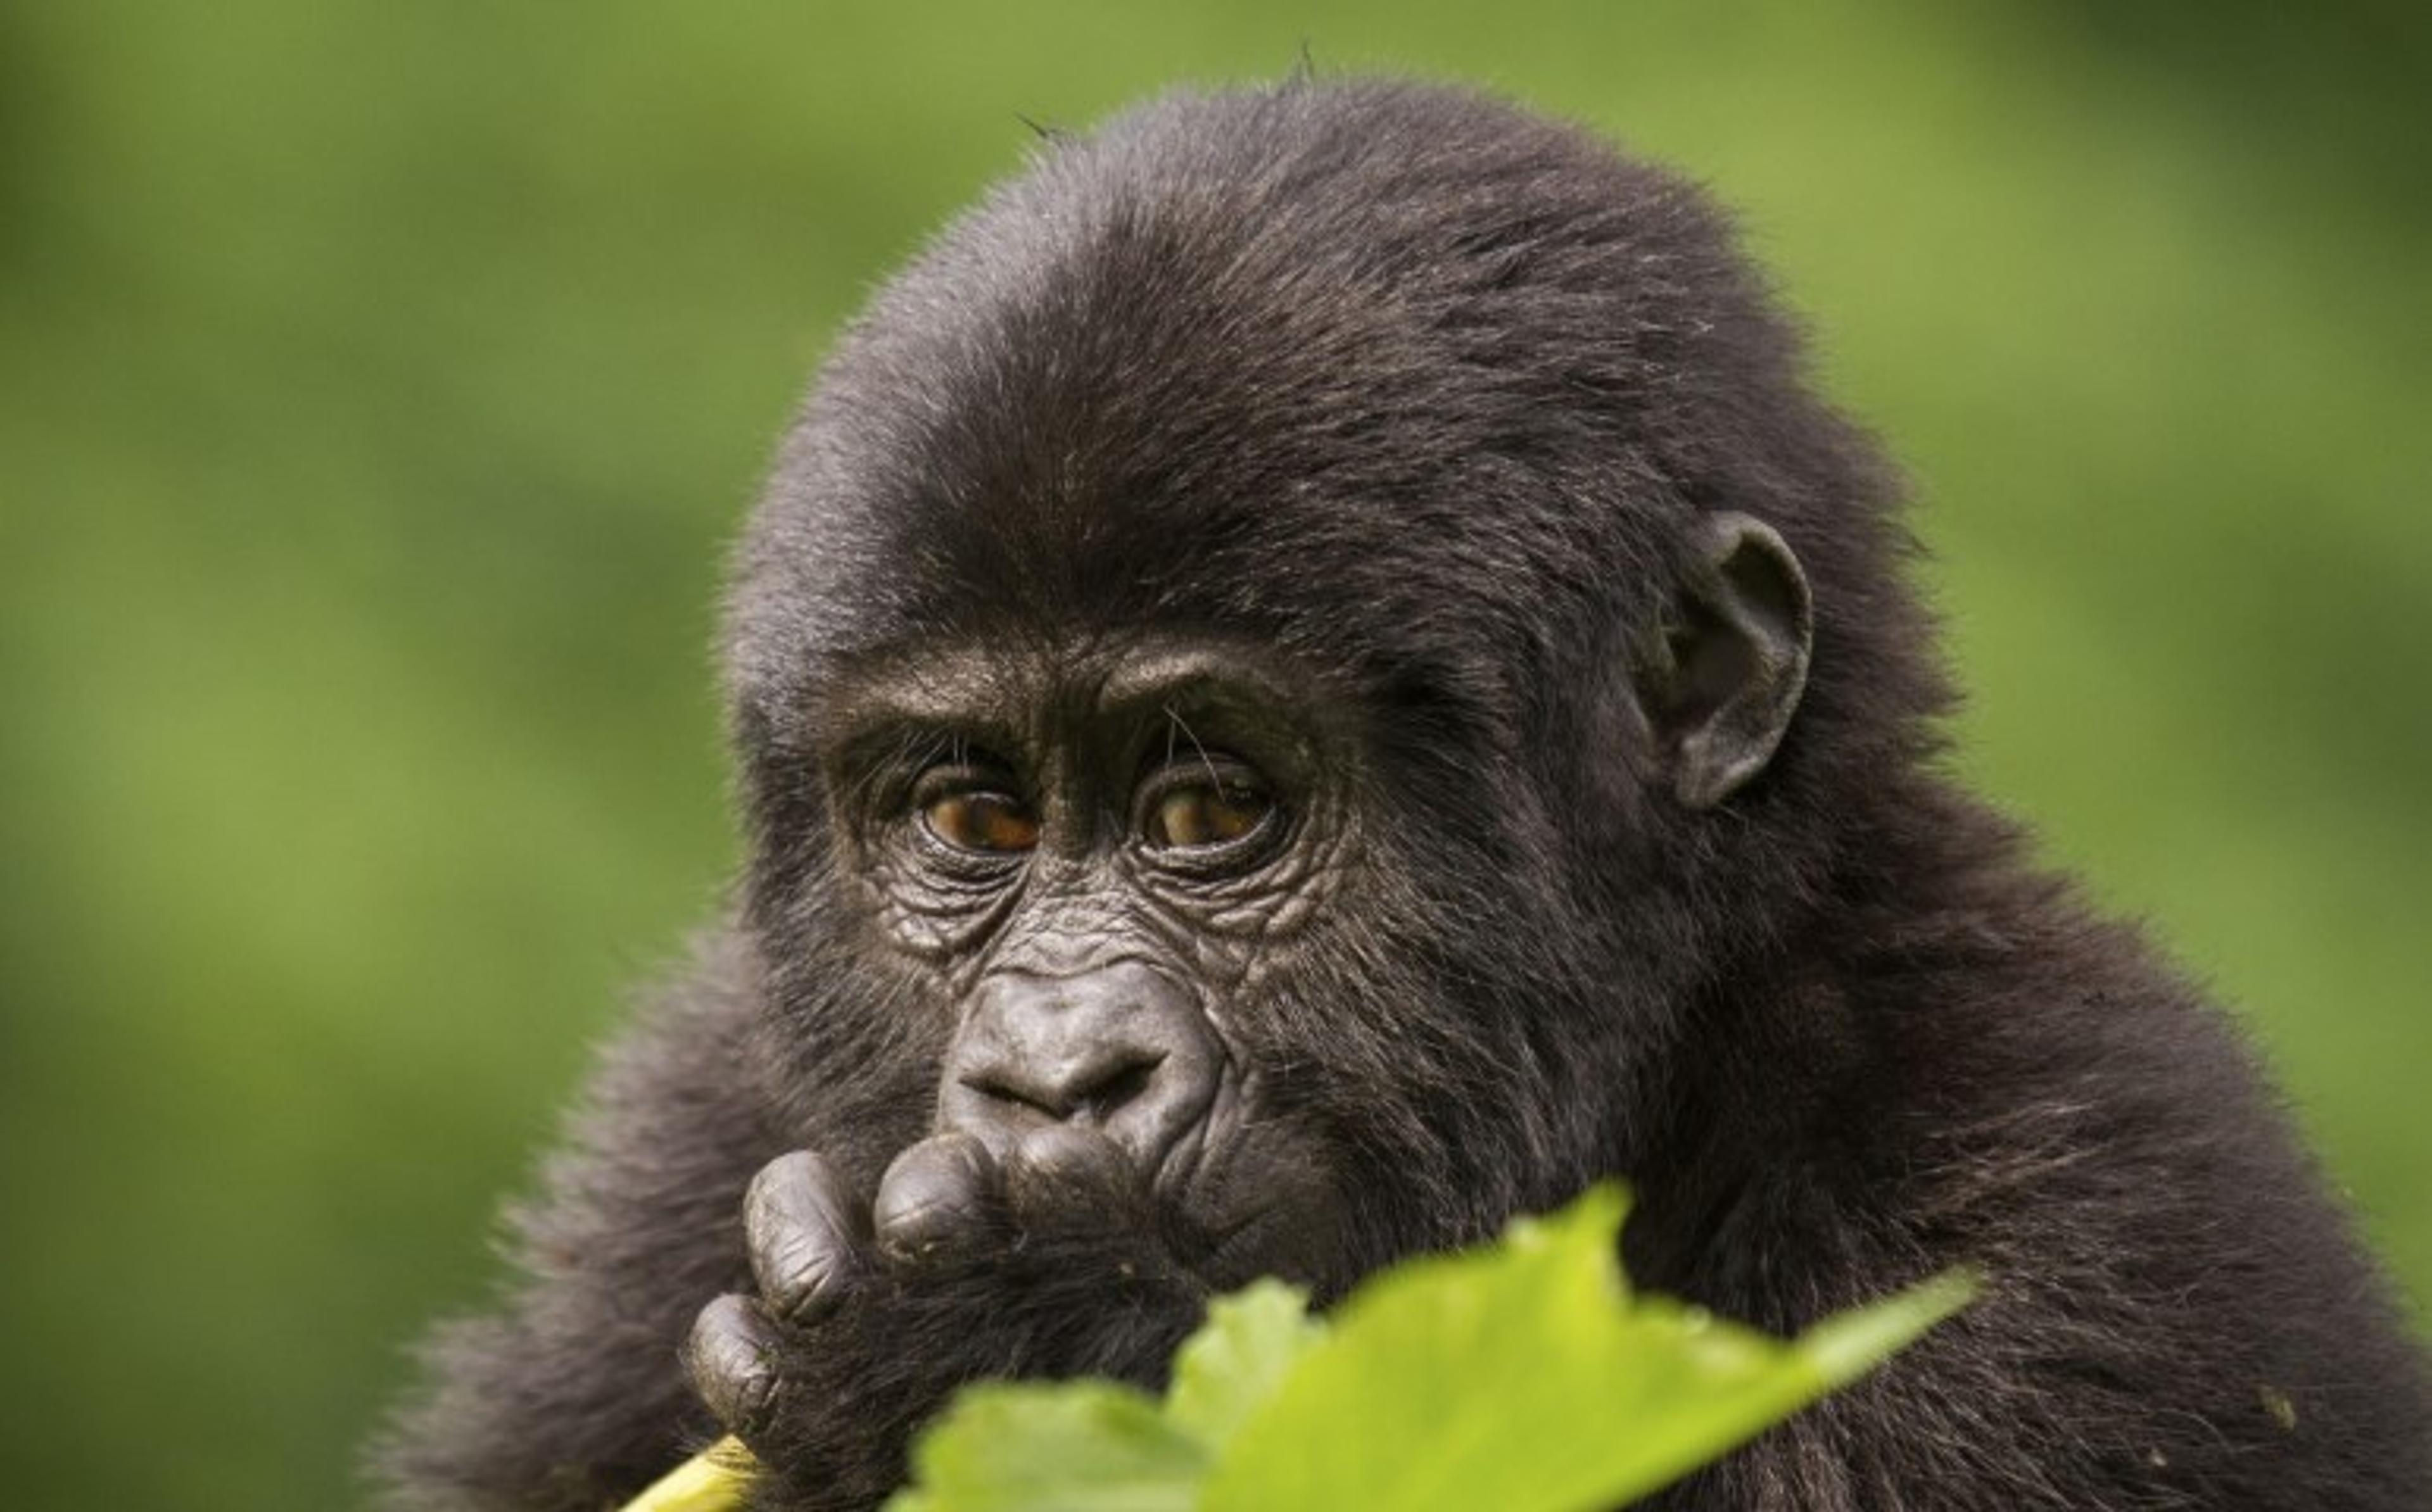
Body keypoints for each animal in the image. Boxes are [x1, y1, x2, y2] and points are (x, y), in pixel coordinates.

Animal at [376, 77, 2432, 1511]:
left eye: (1210, 811)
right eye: (973, 823)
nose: (1053, 1082)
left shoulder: (2084, 1242)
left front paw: (997, 1348)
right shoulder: (687, 1127)